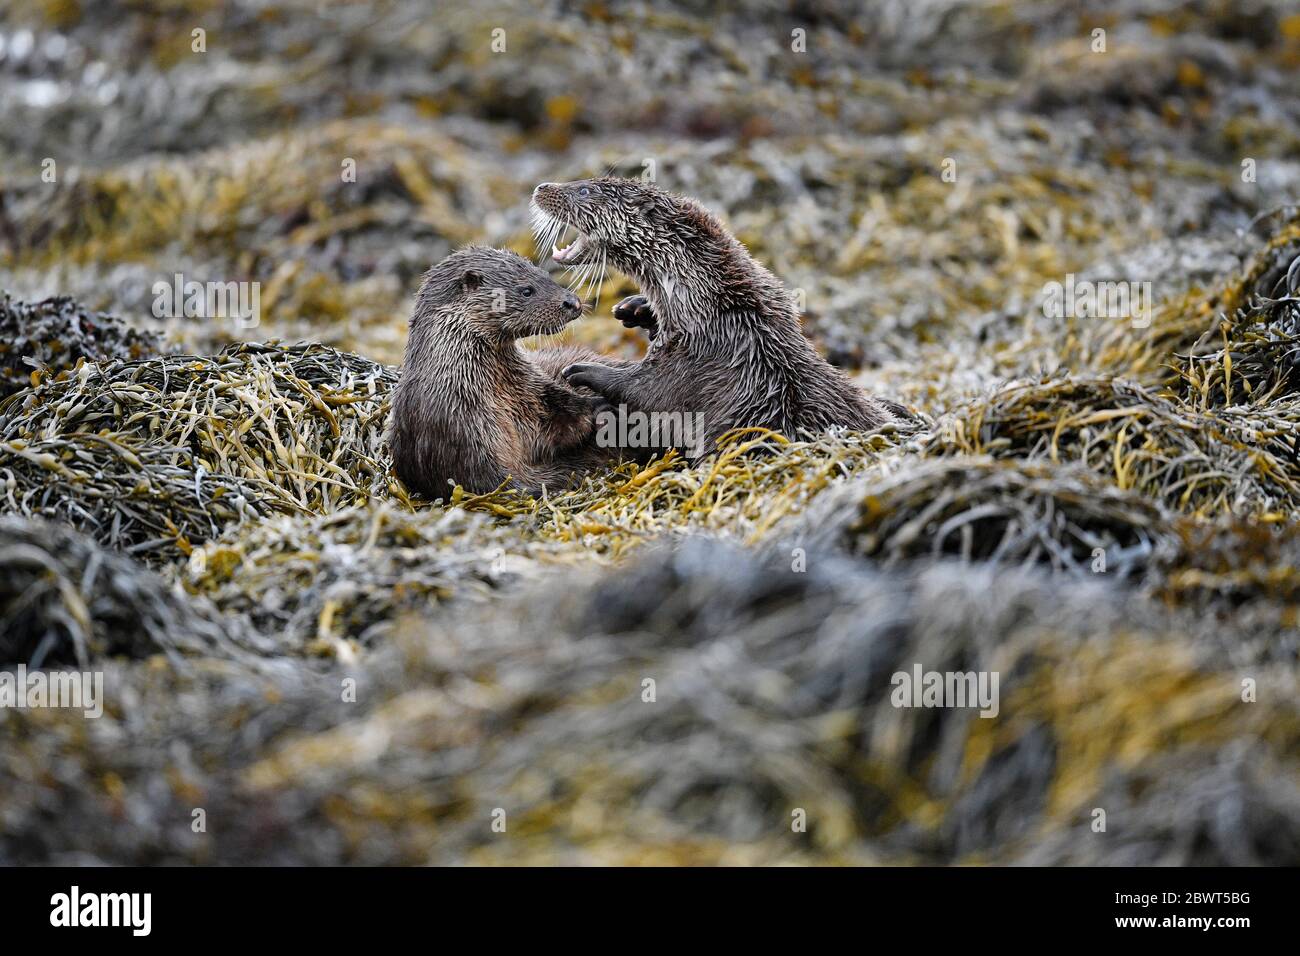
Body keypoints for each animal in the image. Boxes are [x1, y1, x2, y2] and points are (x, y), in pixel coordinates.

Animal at [384, 247, 618, 496]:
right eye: (527, 290)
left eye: (547, 275)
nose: (573, 302)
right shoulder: (457, 436)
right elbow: (499, 483)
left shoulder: (535, 392)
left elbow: (561, 412)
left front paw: (598, 405)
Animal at [527, 178, 904, 455]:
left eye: (584, 190)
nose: (542, 187)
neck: (712, 305)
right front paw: (636, 307)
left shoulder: (692, 358)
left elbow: (648, 392)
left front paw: (584, 371)